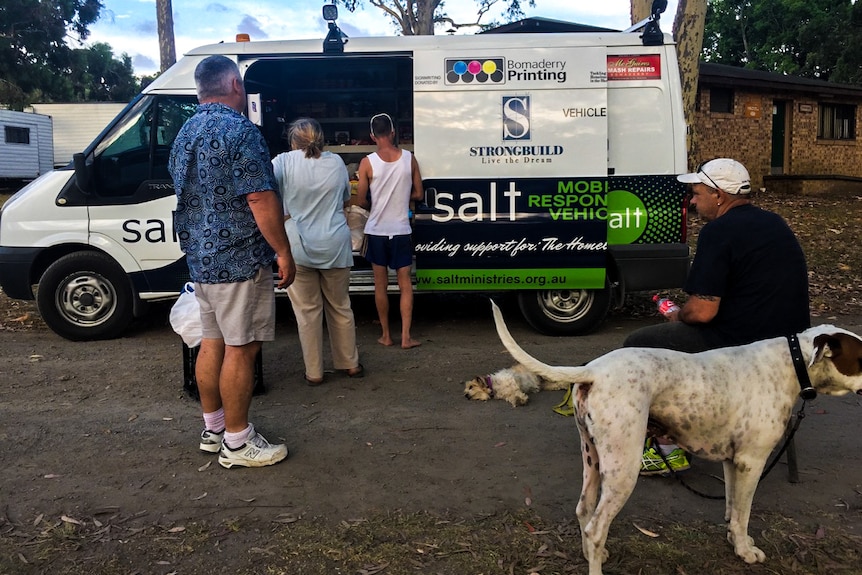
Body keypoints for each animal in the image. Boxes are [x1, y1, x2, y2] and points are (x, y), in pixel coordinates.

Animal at [492, 302, 862, 575]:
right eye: (861, 358)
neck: (793, 360)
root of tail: (593, 370)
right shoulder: (751, 462)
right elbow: (744, 513)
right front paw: (745, 550)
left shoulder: (733, 462)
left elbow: (732, 507)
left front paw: (733, 539)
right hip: (623, 468)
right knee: (597, 526)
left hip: (593, 459)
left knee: (584, 510)